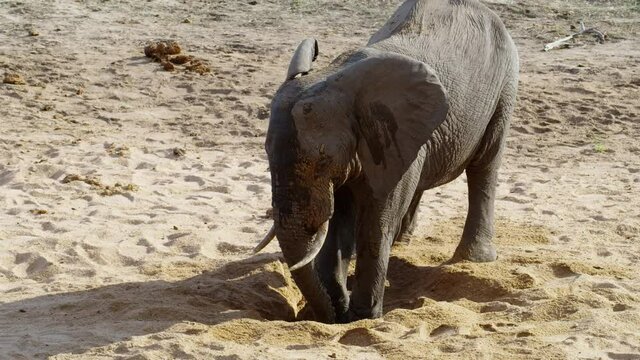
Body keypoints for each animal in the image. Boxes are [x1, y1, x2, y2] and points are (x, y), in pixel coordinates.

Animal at [252, 0, 516, 324]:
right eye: (266, 153)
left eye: (323, 159)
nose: (332, 313)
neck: (337, 76)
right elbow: (341, 217)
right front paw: (339, 309)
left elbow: (375, 220)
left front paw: (362, 317)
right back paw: (403, 242)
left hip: (504, 86)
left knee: (485, 165)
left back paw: (473, 258)